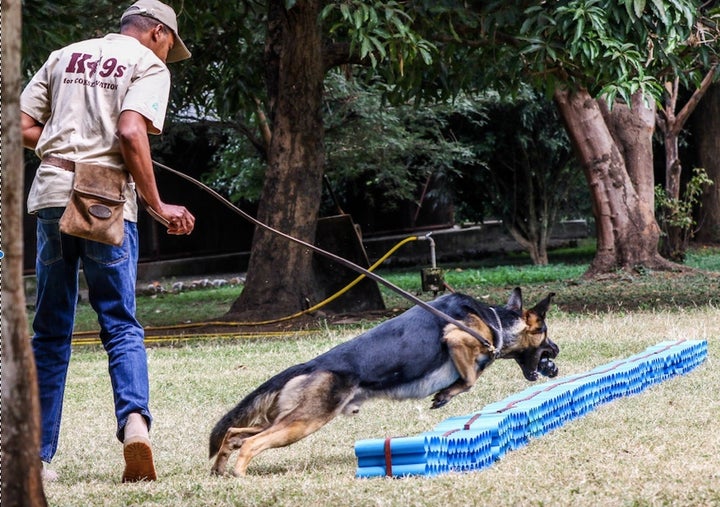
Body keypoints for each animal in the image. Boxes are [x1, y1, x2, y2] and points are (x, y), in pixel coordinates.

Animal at [208, 288, 556, 478]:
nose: (557, 351)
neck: (495, 319)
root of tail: (310, 365)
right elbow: (471, 376)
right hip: (302, 423)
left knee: (235, 433)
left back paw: (219, 470)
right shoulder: (458, 337)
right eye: (544, 332)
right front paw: (445, 394)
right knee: (251, 443)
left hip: (288, 420)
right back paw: (239, 474)